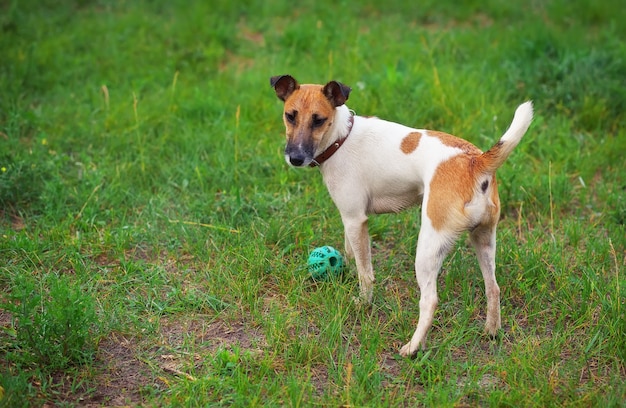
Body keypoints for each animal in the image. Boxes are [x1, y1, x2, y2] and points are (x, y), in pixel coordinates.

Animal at [270, 75, 532, 356]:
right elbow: (350, 253)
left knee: (430, 300)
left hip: (428, 248)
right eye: (290, 116)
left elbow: (365, 272)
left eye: (318, 120)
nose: (295, 158)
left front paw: (364, 302)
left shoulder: (355, 219)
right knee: (493, 288)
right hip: (484, 240)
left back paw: (413, 347)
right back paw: (491, 331)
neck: (342, 138)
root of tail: (475, 162)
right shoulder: (349, 220)